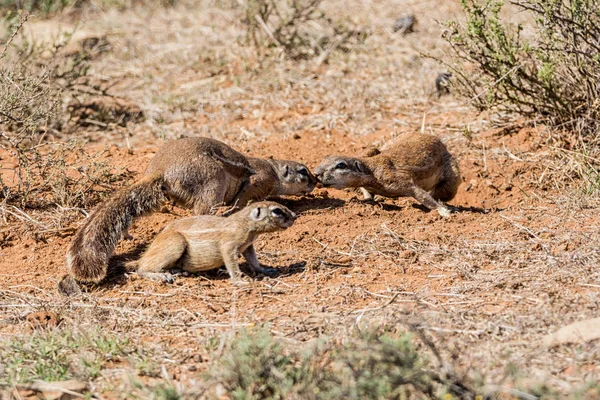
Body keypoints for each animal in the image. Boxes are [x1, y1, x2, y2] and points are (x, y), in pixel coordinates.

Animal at [126, 200, 296, 284]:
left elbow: (254, 261)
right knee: (141, 269)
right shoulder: (229, 245)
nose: (295, 216)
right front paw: (240, 281)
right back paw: (162, 276)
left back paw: (176, 271)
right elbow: (232, 264)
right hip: (175, 243)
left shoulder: (248, 246)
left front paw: (266, 270)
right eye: (277, 211)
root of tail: (144, 255)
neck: (245, 223)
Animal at [314, 133, 460, 217]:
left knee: (444, 191)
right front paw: (366, 199)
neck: (372, 169)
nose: (315, 173)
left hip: (452, 175)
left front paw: (444, 212)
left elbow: (420, 194)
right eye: (324, 158)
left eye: (340, 165)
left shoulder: (396, 179)